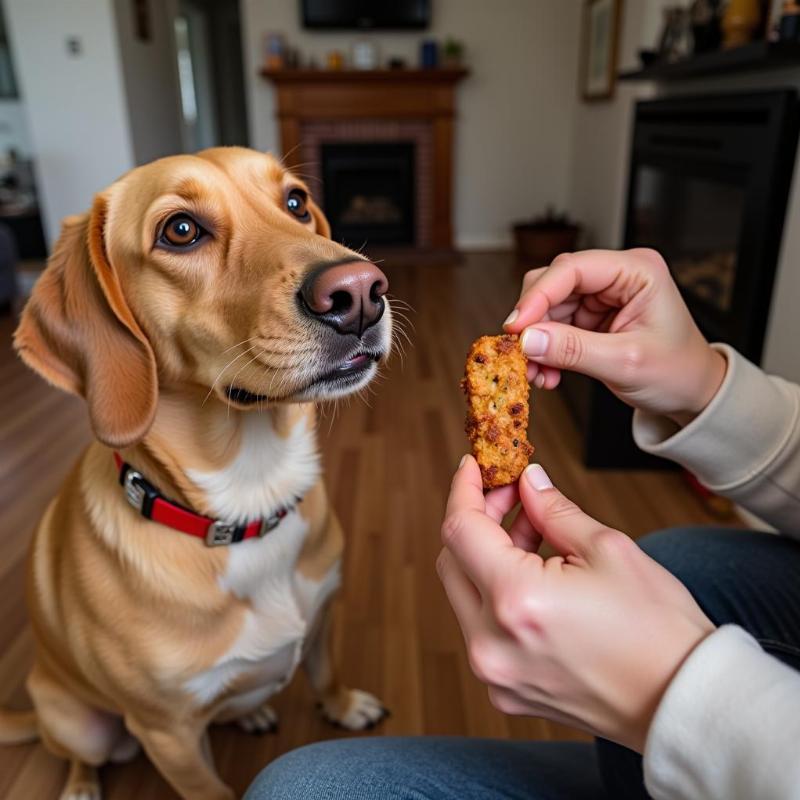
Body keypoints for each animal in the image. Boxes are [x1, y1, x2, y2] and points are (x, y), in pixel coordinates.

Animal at [0, 147, 394, 796]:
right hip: (78, 722)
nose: (361, 290)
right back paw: (80, 783)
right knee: (78, 752)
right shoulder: (169, 737)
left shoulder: (322, 618)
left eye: (295, 202)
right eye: (180, 231)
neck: (248, 499)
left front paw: (343, 704)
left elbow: (324, 670)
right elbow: (210, 787)